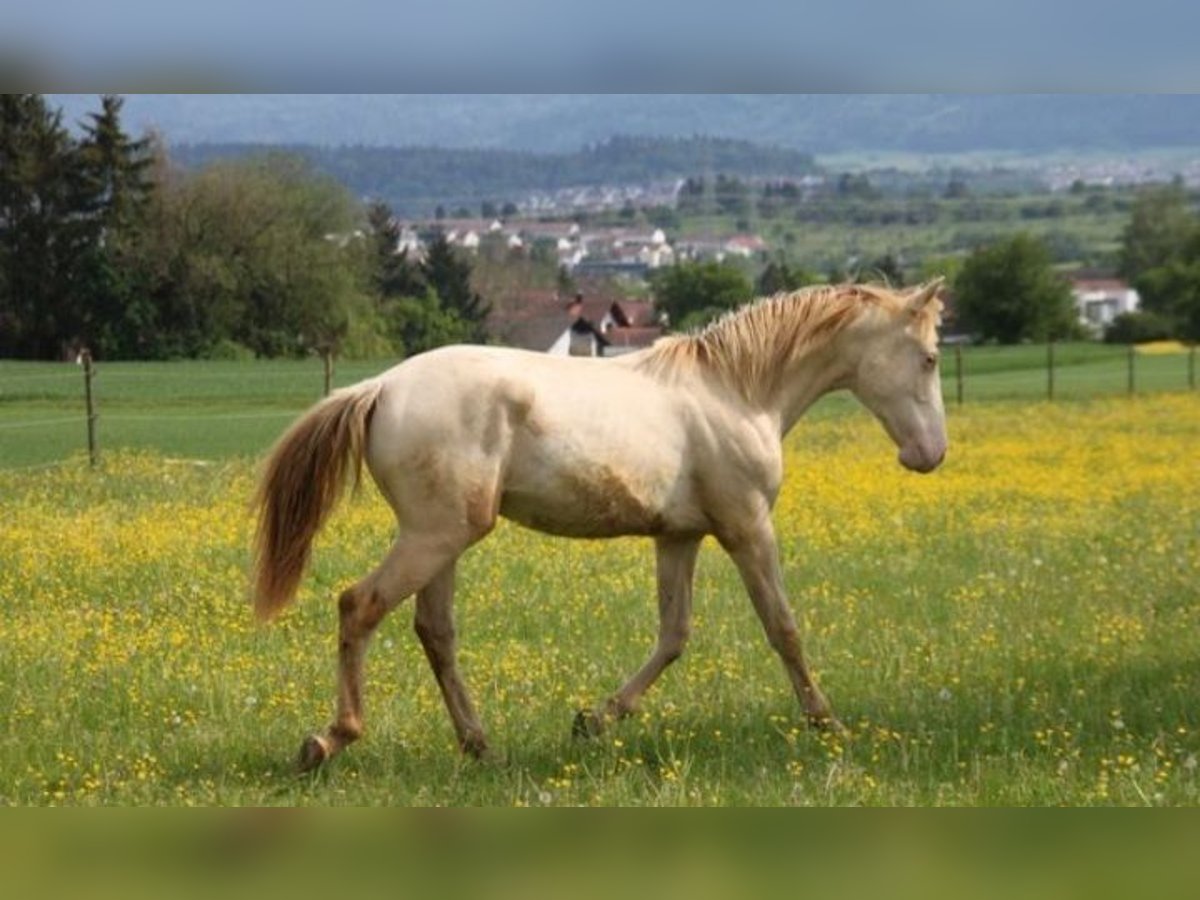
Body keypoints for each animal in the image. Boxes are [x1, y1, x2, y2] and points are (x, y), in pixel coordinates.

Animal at [253, 278, 945, 772]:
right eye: (931, 357)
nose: (930, 454)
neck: (739, 391)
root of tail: (381, 388)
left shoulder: (679, 537)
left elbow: (674, 635)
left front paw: (594, 719)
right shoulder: (747, 528)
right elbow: (784, 629)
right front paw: (828, 724)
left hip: (443, 540)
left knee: (435, 632)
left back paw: (480, 748)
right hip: (434, 537)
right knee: (359, 605)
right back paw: (328, 741)